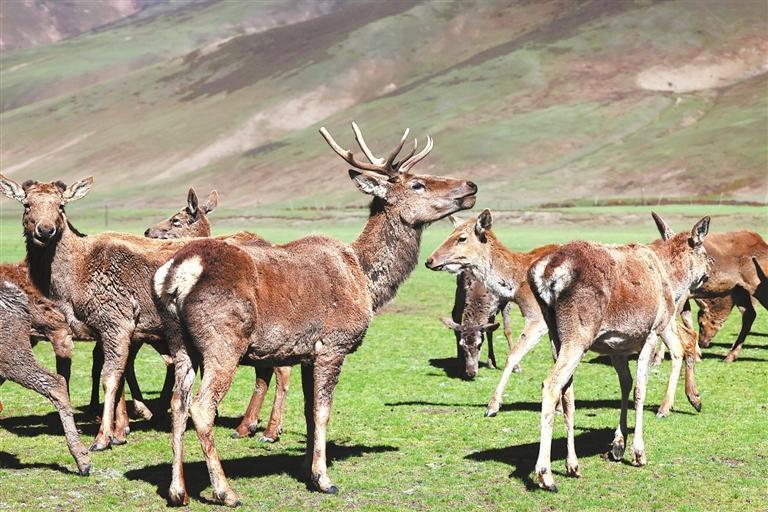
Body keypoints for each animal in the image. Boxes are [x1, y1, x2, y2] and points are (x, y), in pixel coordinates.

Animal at [0, 174, 266, 451]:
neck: (72, 283)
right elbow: (116, 375)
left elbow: (110, 377)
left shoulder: (116, 321)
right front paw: (121, 429)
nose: (45, 229)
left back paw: (254, 427)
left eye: (61, 205)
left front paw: (104, 436)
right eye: (26, 204)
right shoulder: (107, 330)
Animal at [152, 122, 478, 506]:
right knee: (202, 408)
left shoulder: (306, 353)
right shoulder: (333, 344)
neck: (366, 281)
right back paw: (225, 491)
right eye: (418, 184)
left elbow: (308, 412)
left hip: (179, 343)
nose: (470, 185)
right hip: (223, 342)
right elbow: (323, 411)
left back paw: (178, 491)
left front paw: (307, 468)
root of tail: (177, 272)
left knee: (178, 403)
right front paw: (323, 478)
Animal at [527, 213, 709, 492]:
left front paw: (618, 444)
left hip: (554, 335)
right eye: (704, 251)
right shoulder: (652, 331)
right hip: (578, 334)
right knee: (551, 384)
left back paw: (572, 465)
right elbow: (640, 390)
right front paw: (638, 452)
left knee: (568, 394)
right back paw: (546, 475)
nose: (709, 272)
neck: (670, 279)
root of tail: (545, 273)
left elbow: (626, 384)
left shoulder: (617, 346)